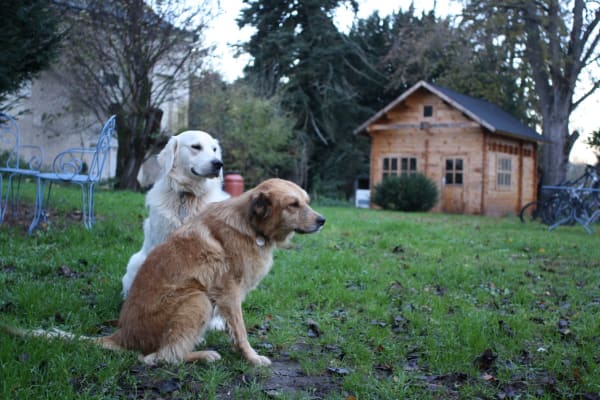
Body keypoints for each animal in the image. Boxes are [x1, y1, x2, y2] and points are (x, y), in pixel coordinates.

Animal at [96, 178, 326, 366]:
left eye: (306, 201)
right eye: (293, 204)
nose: (322, 220)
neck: (250, 225)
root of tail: (122, 335)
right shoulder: (229, 293)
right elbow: (240, 331)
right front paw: (251, 358)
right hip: (198, 299)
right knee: (160, 357)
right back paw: (203, 355)